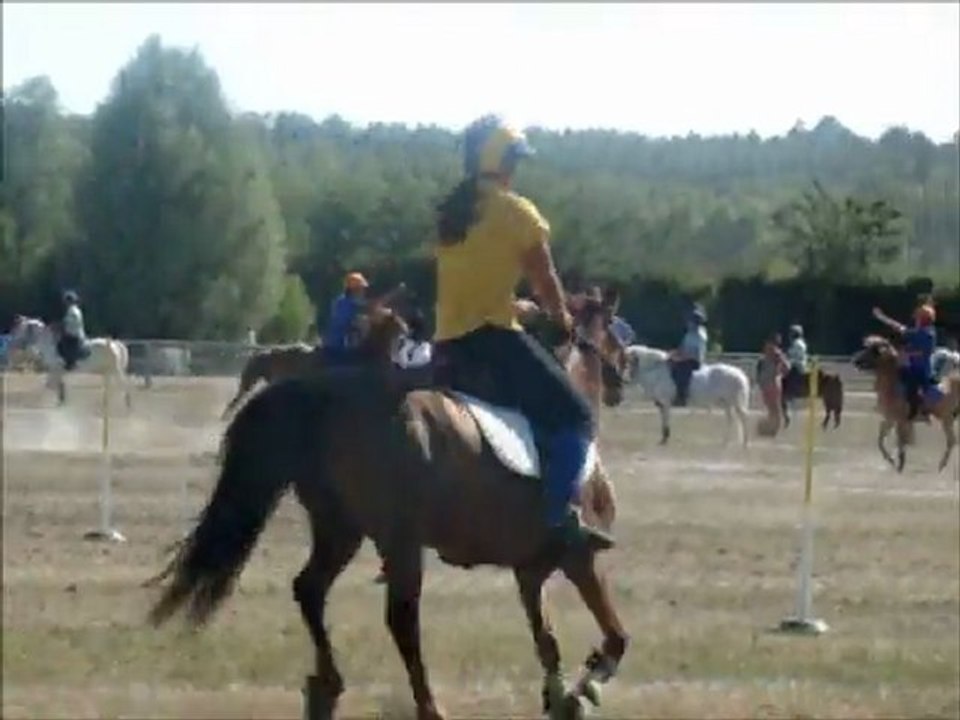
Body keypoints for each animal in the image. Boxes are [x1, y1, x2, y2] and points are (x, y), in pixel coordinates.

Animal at [146, 296, 631, 720]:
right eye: (615, 331)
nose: (622, 378)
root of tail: (324, 396)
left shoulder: (529, 570)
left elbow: (546, 639)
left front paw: (561, 696)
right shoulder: (579, 558)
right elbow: (615, 636)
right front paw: (586, 688)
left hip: (340, 529)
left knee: (310, 589)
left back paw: (326, 685)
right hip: (399, 541)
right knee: (400, 617)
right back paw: (428, 706)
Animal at [852, 335, 960, 473]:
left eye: (873, 350)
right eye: (866, 347)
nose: (855, 360)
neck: (893, 385)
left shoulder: (901, 420)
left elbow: (901, 440)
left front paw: (899, 462)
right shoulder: (890, 418)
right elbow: (881, 438)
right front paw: (891, 459)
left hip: (946, 418)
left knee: (951, 441)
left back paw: (941, 465)